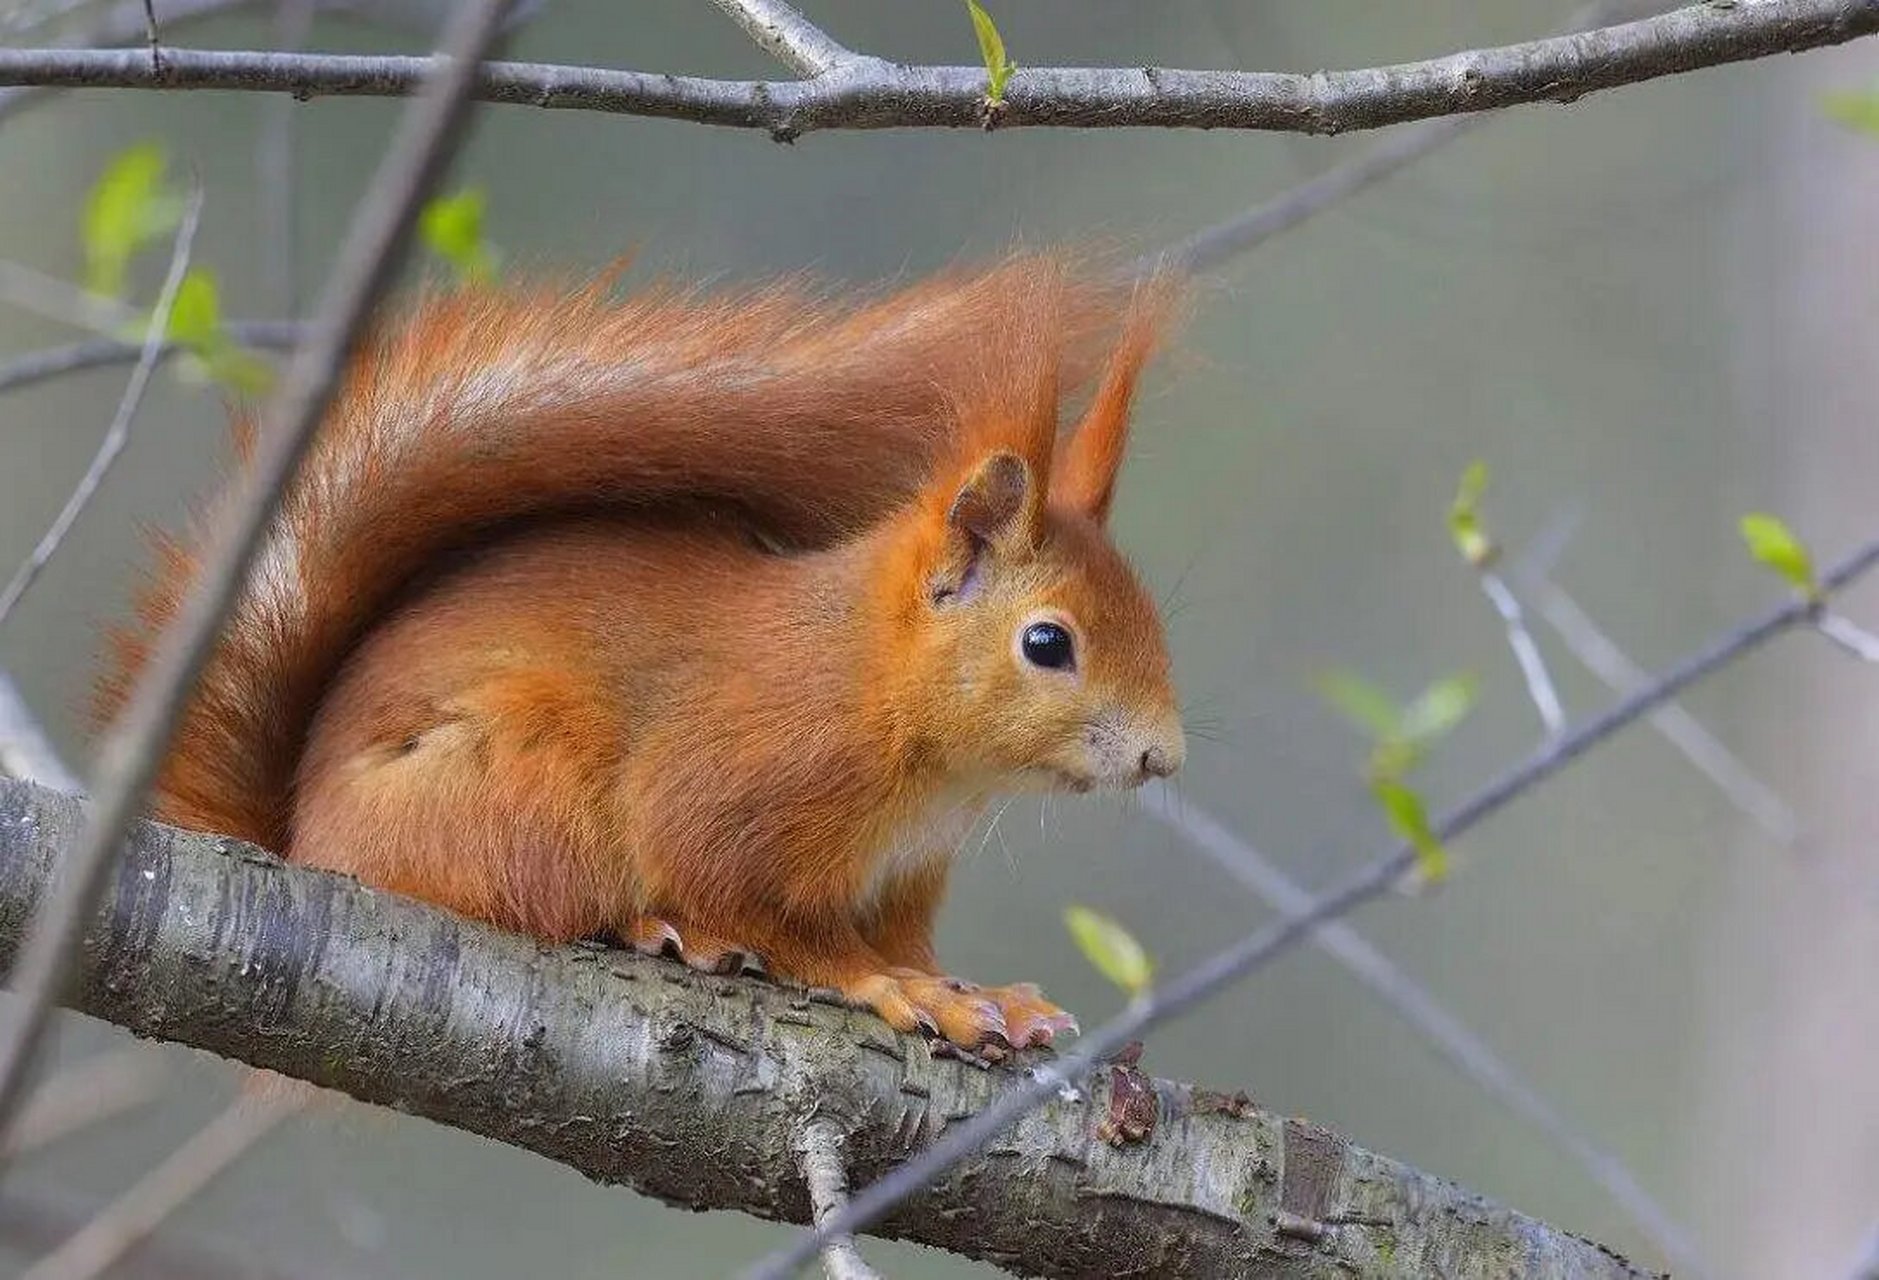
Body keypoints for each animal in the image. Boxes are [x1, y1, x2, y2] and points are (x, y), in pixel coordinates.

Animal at [95, 253, 1180, 1052]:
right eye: (1047, 642)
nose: (1161, 757)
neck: (875, 684)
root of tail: (301, 835)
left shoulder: (903, 874)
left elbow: (904, 934)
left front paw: (971, 985)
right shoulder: (742, 779)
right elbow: (756, 897)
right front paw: (897, 985)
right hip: (520, 778)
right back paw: (662, 928)